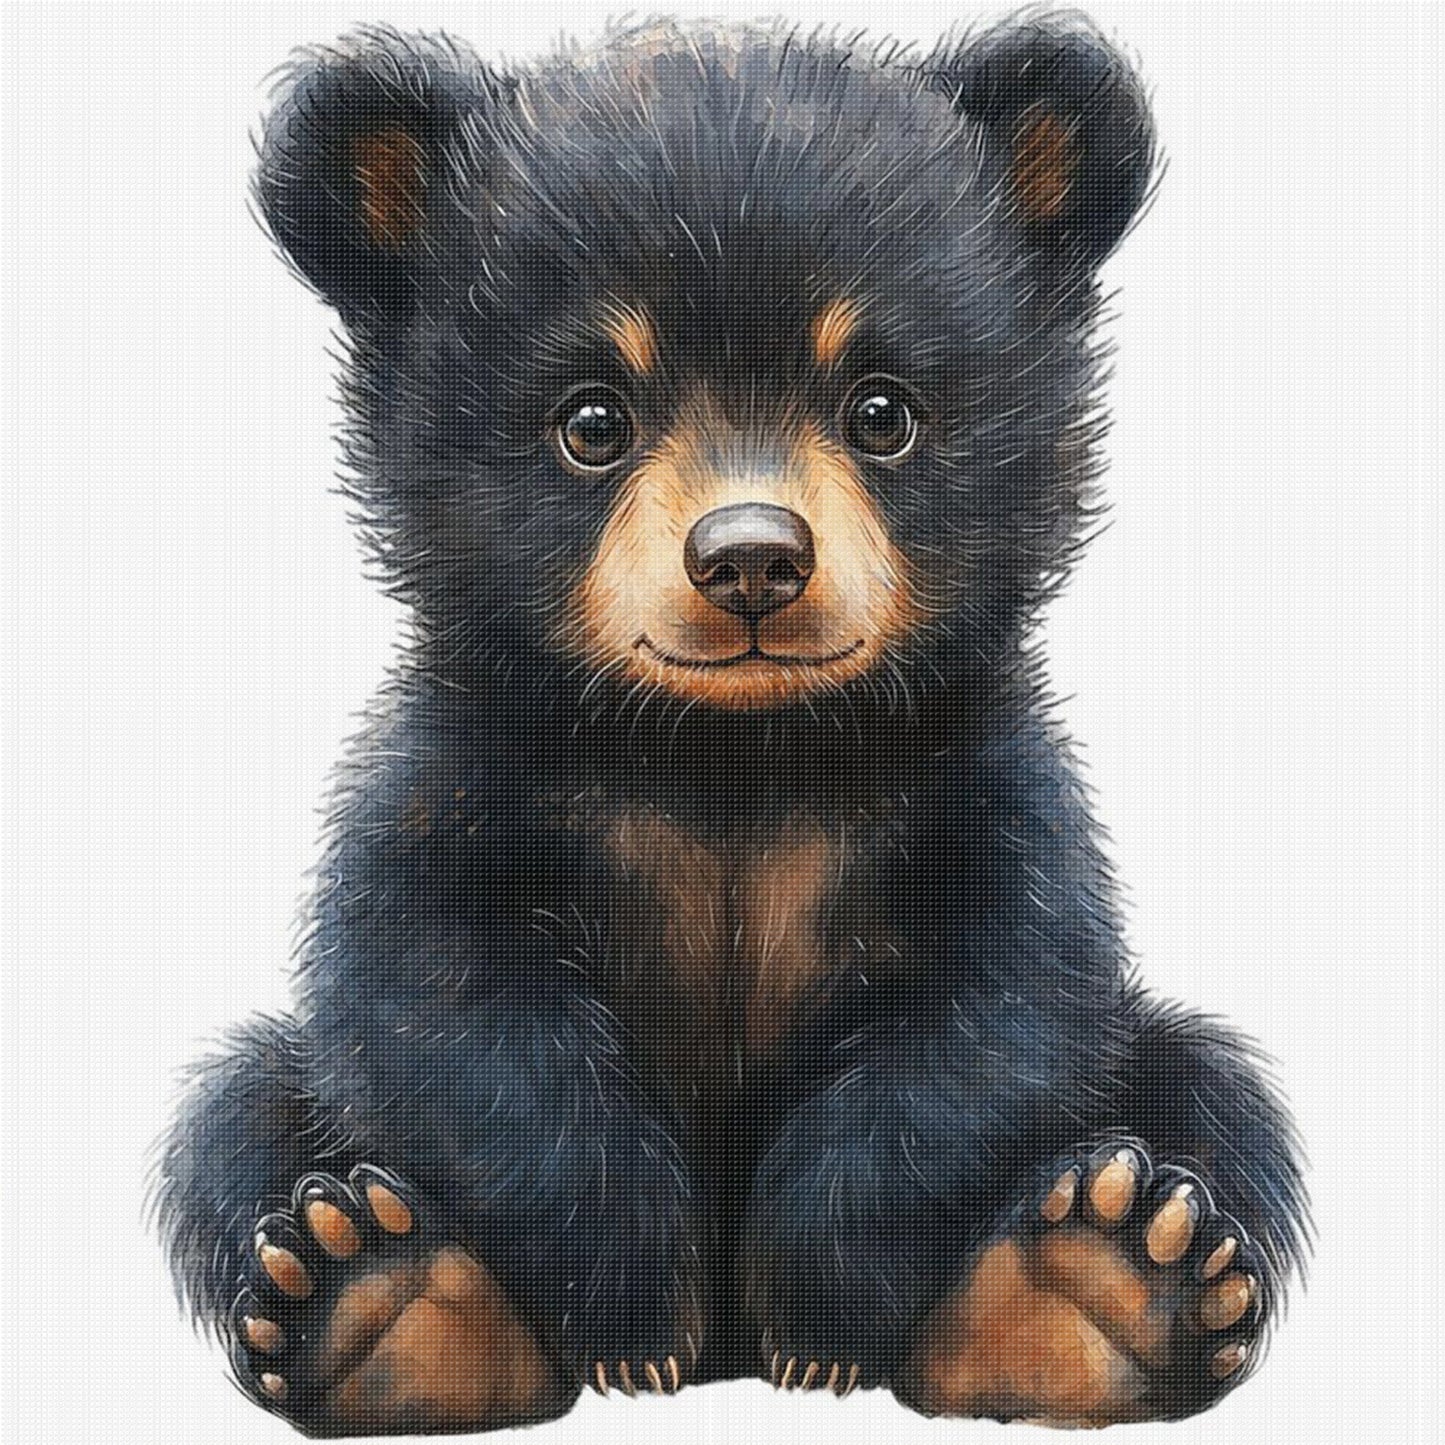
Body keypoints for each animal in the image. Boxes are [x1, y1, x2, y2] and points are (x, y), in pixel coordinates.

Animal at [155, 13, 1309, 1435]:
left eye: (881, 409)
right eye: (591, 419)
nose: (751, 558)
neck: (730, 745)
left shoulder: (980, 786)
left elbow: (999, 1013)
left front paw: (818, 1319)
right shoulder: (464, 771)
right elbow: (443, 1001)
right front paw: (633, 1315)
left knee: (1208, 1093)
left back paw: (1096, 1277)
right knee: (240, 1114)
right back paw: (379, 1295)